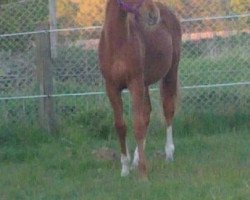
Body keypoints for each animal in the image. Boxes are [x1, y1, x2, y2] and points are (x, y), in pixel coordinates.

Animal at [98, 0, 182, 178]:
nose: (153, 14)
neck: (117, 44)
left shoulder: (135, 84)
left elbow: (137, 124)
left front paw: (143, 173)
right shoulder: (112, 88)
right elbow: (121, 125)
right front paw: (125, 168)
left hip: (170, 72)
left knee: (168, 109)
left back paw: (169, 154)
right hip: (145, 83)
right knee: (147, 113)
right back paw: (136, 158)